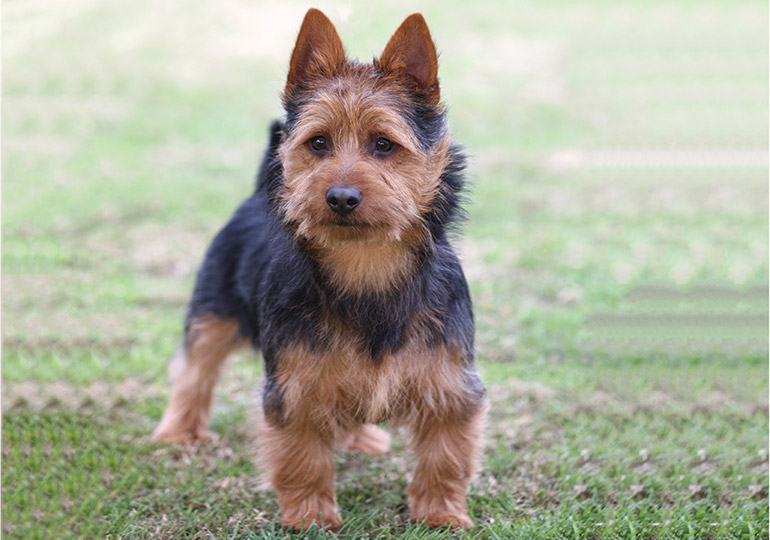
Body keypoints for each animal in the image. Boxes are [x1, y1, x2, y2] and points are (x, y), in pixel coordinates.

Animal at [152, 8, 486, 532]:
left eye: (384, 144)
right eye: (318, 143)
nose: (341, 197)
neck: (366, 265)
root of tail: (255, 194)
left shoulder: (450, 380)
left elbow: (446, 453)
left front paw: (440, 513)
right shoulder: (296, 383)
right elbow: (302, 454)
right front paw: (310, 515)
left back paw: (361, 439)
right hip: (213, 309)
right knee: (195, 369)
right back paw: (180, 430)